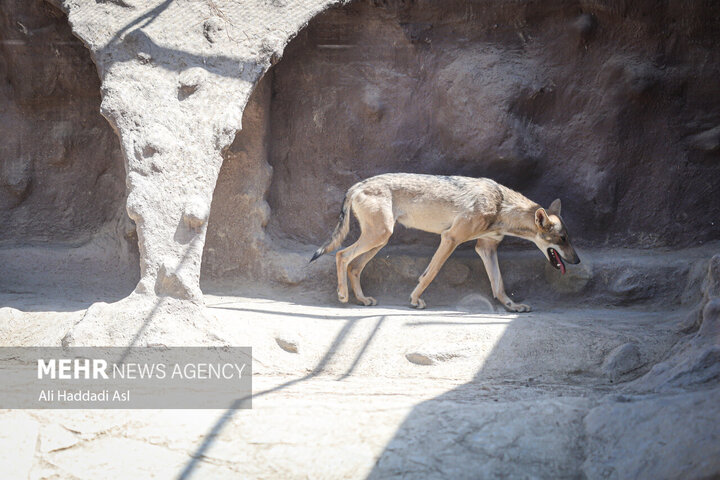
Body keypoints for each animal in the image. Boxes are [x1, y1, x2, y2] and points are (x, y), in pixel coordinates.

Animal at [310, 172, 580, 312]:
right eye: (563, 239)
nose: (577, 261)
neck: (501, 205)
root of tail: (357, 184)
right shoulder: (450, 238)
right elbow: (429, 274)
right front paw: (415, 300)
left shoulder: (486, 248)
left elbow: (498, 285)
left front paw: (512, 306)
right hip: (379, 236)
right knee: (341, 255)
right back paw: (343, 296)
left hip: (380, 240)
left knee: (354, 266)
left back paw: (362, 300)